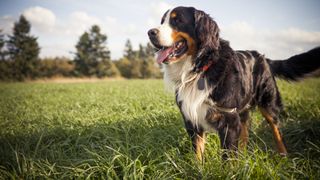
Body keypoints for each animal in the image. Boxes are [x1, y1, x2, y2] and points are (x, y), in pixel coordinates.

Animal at [148, 5, 320, 160]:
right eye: (162, 21)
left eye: (177, 20)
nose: (150, 32)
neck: (201, 68)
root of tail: (263, 57)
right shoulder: (192, 120)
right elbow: (198, 154)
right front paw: (198, 170)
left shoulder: (228, 120)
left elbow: (227, 158)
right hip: (242, 110)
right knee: (245, 135)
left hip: (268, 104)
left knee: (276, 130)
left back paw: (284, 156)